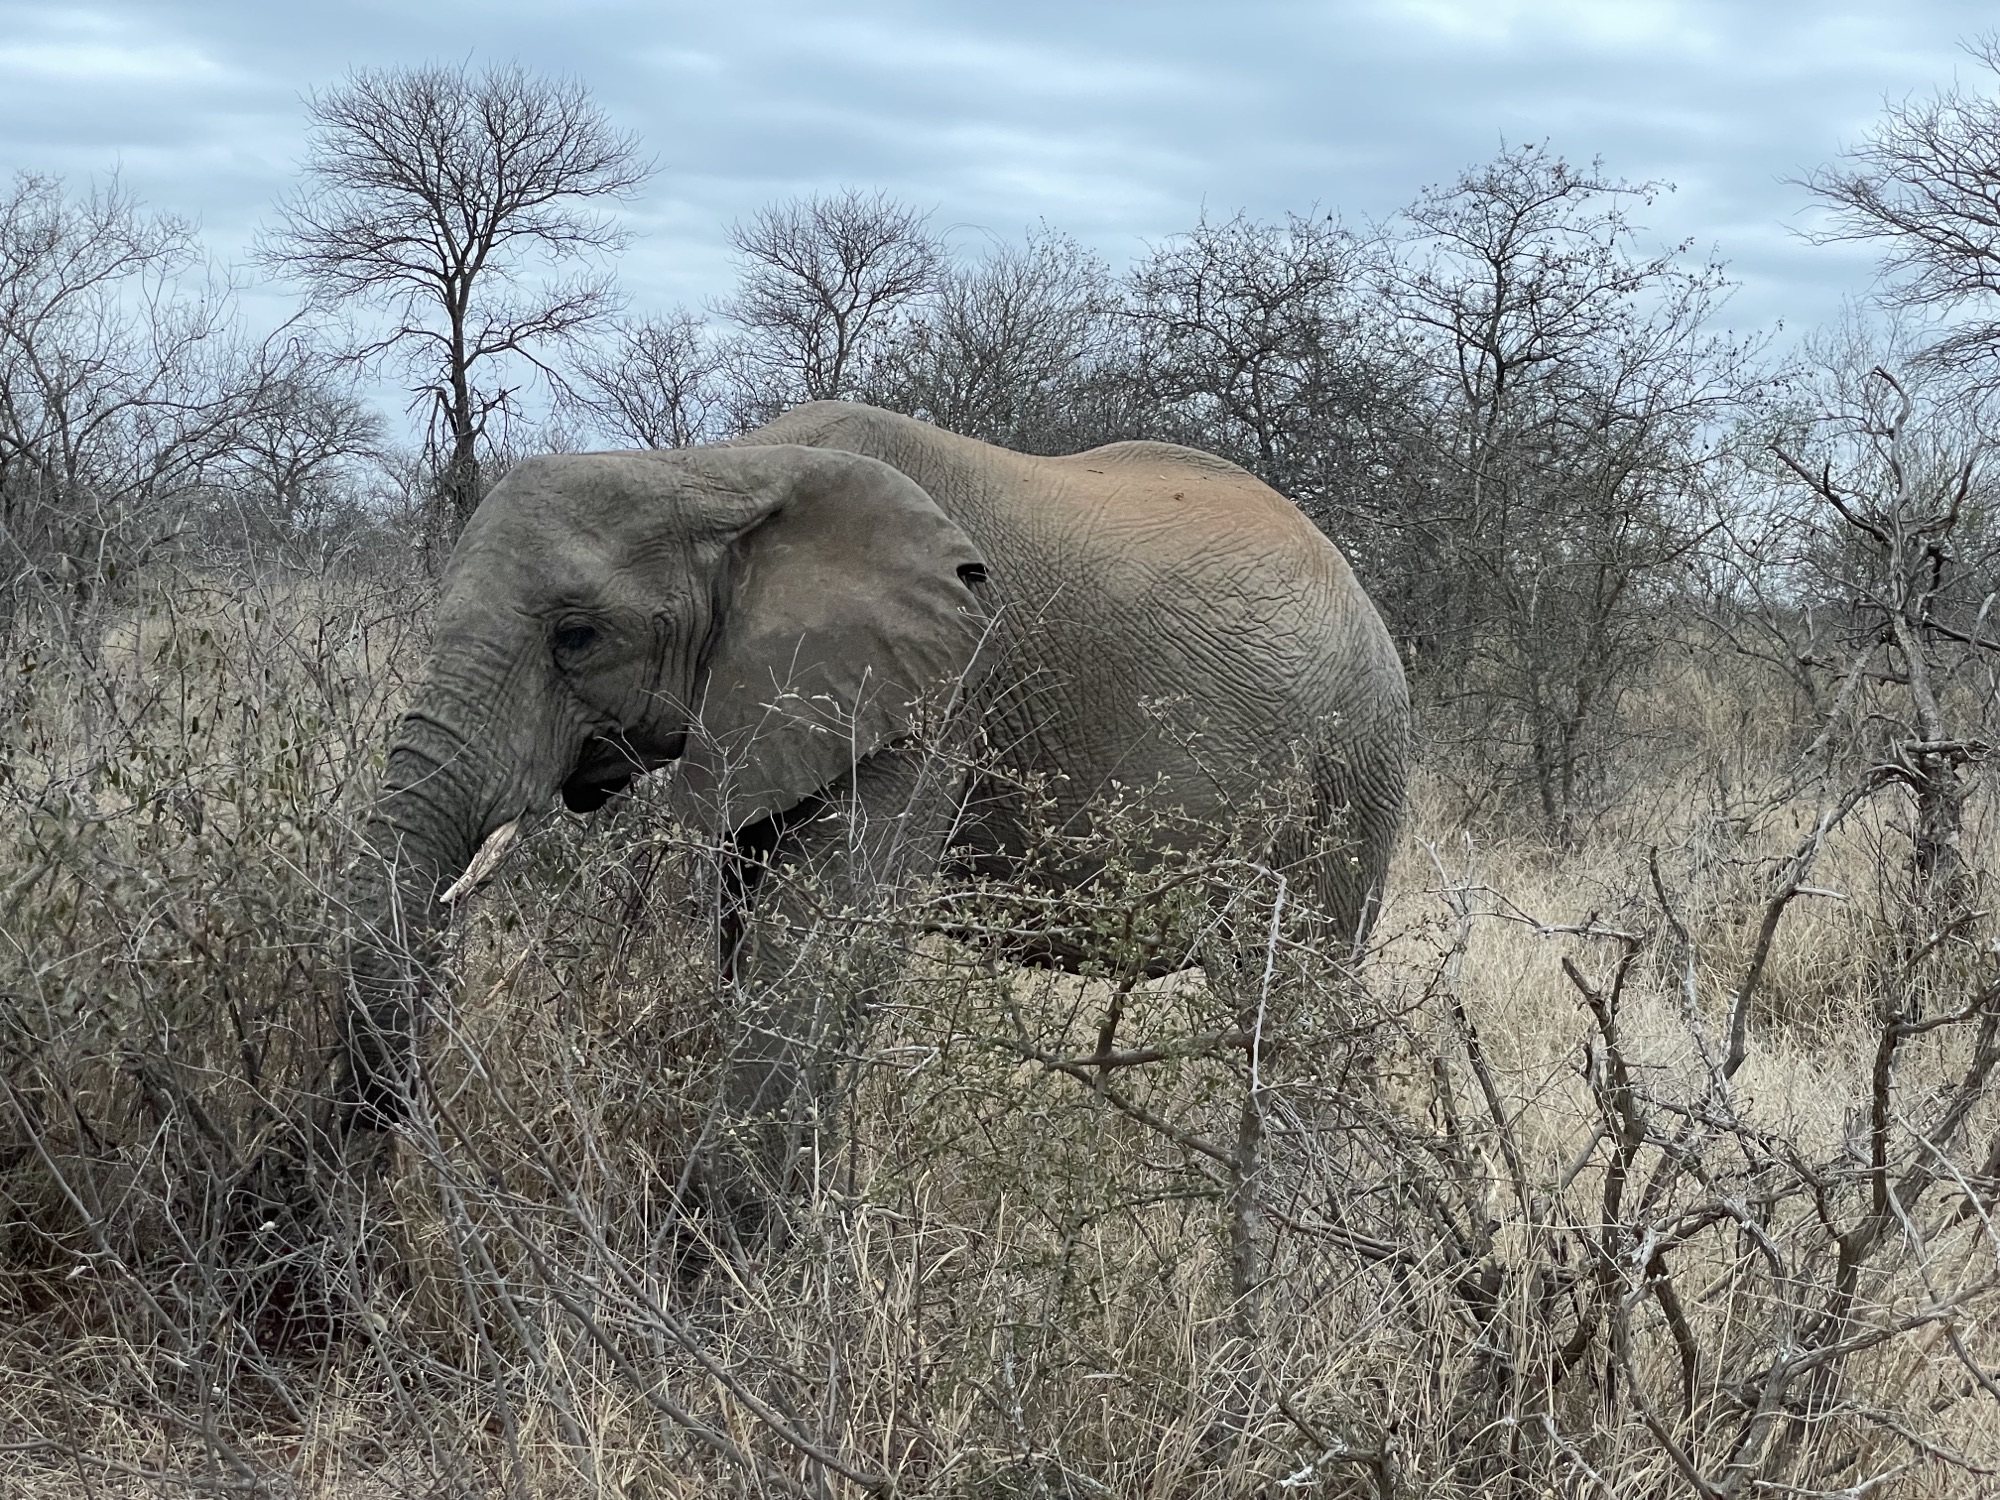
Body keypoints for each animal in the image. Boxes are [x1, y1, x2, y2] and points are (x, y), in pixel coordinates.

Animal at [336, 401, 1410, 1187]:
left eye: (576, 637)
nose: (377, 1154)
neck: (714, 472)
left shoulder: (936, 691)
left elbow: (826, 941)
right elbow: (753, 932)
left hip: (1347, 783)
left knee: (1293, 1013)